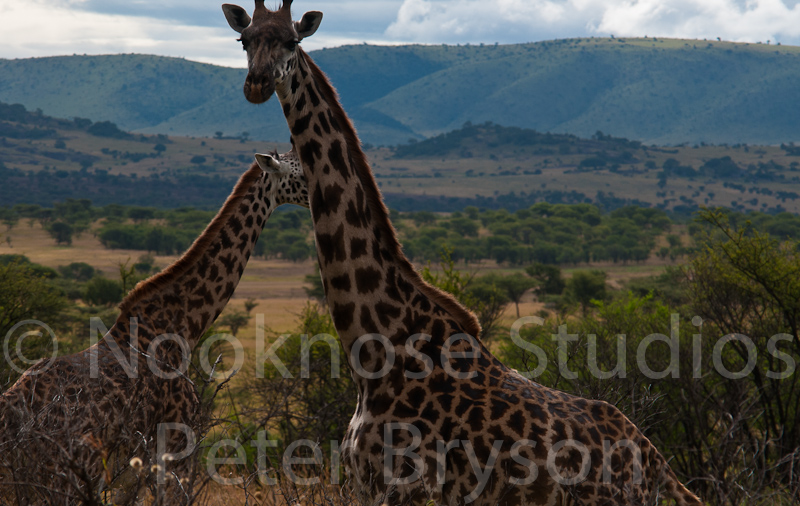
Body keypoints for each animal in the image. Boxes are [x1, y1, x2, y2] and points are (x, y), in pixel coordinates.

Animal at [0, 149, 307, 504]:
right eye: (302, 172)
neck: (183, 324)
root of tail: (10, 415)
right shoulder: (176, 447)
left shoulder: (135, 468)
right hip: (64, 476)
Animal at [221, 2, 704, 506]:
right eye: (245, 40)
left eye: (291, 41)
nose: (256, 83)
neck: (373, 354)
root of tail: (657, 465)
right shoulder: (366, 485)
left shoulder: (409, 486)